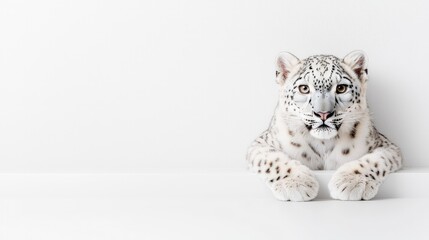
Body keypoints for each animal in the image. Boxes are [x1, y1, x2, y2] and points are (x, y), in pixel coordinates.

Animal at [246, 50, 402, 201]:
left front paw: (351, 181)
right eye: (304, 88)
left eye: (341, 88)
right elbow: (273, 159)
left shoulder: (387, 146)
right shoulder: (260, 144)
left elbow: (376, 160)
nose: (323, 114)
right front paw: (296, 183)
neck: (323, 144)